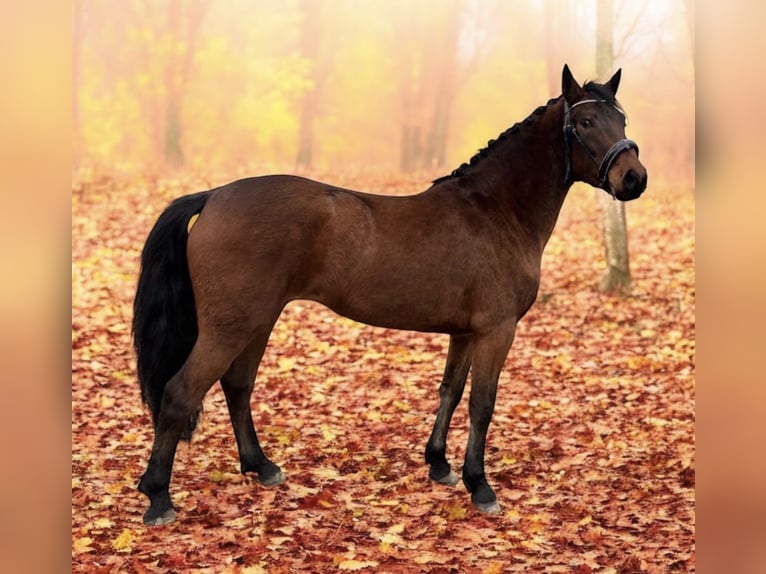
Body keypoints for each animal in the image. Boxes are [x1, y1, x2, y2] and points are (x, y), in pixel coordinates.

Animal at [133, 64, 647, 525]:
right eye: (585, 122)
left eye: (622, 120)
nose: (634, 178)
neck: (494, 210)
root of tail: (214, 196)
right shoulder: (495, 330)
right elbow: (482, 404)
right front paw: (480, 486)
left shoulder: (464, 332)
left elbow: (450, 391)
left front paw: (439, 464)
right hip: (230, 326)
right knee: (180, 394)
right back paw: (158, 497)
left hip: (258, 321)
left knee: (238, 387)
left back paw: (261, 466)